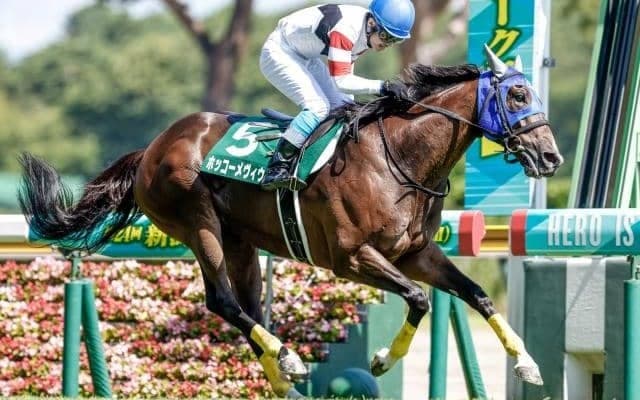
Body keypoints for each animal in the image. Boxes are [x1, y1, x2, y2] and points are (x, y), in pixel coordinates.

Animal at [18, 46, 563, 398]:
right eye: (517, 96)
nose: (551, 156)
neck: (399, 158)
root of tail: (152, 147)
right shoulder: (350, 257)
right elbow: (418, 299)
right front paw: (382, 359)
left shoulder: (415, 253)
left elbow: (476, 294)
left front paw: (528, 363)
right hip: (197, 223)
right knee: (222, 301)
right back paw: (290, 359)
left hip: (240, 242)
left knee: (247, 306)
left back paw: (281, 372)